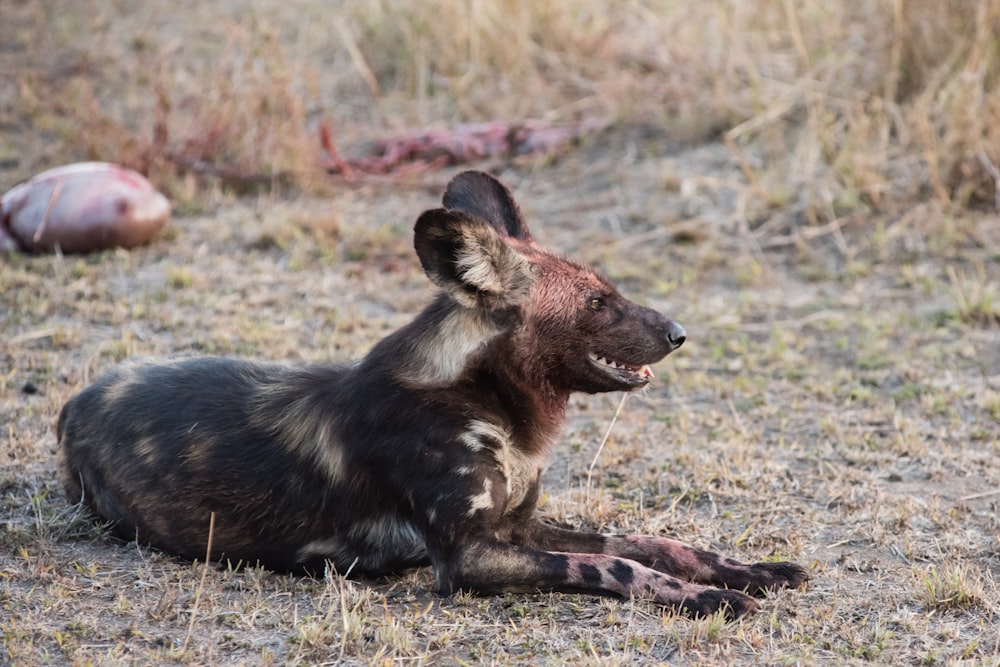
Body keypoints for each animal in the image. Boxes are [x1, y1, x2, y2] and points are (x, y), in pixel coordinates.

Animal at [56, 172, 804, 620]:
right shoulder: (469, 556)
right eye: (596, 302)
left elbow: (650, 540)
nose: (679, 333)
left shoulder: (519, 527)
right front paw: (709, 597)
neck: (490, 404)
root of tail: (76, 402)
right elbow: (613, 563)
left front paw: (750, 570)